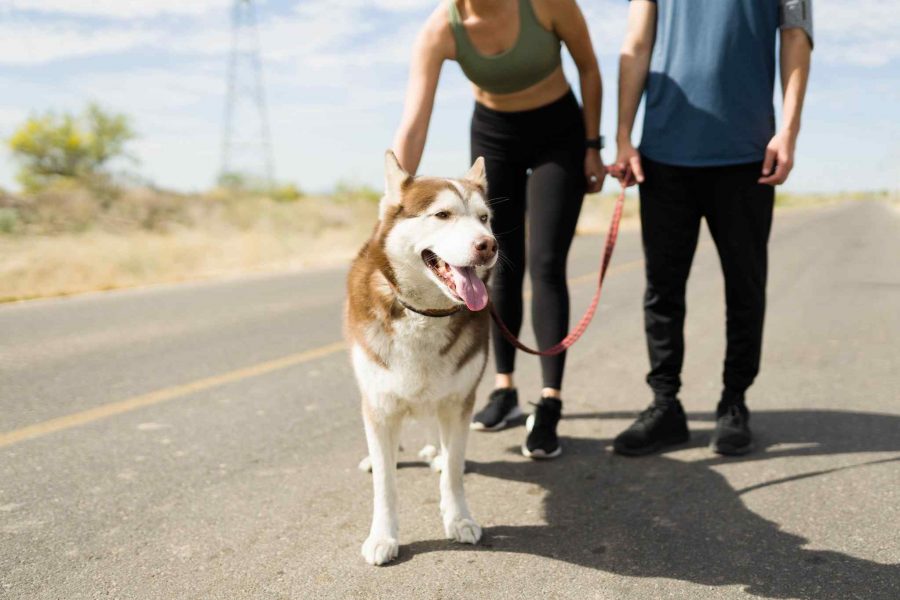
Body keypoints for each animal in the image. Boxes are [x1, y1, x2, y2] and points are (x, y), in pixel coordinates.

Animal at [346, 152, 500, 564]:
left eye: (484, 218)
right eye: (442, 214)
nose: (489, 245)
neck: (424, 315)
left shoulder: (459, 399)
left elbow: (454, 472)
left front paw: (459, 519)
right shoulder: (380, 403)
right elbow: (386, 485)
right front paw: (383, 536)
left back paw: (435, 451)